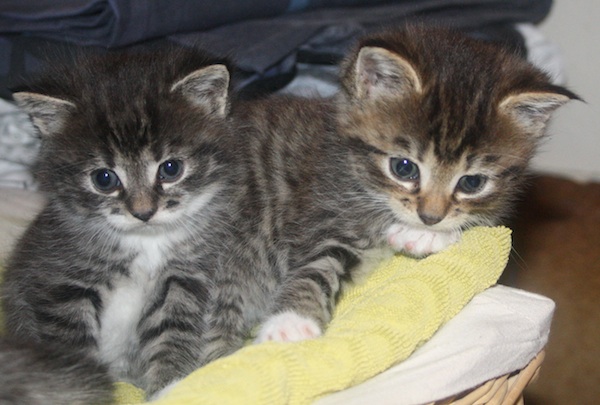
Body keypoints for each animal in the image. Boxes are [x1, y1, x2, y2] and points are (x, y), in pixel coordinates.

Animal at [1, 46, 237, 401]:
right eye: (104, 179)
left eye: (171, 169)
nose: (143, 212)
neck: (145, 241)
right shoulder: (60, 283)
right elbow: (74, 351)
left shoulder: (183, 277)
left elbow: (172, 334)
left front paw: (169, 388)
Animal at [200, 25, 578, 361]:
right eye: (404, 168)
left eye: (471, 183)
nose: (430, 216)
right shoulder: (322, 214)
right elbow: (317, 266)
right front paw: (290, 324)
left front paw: (427, 236)